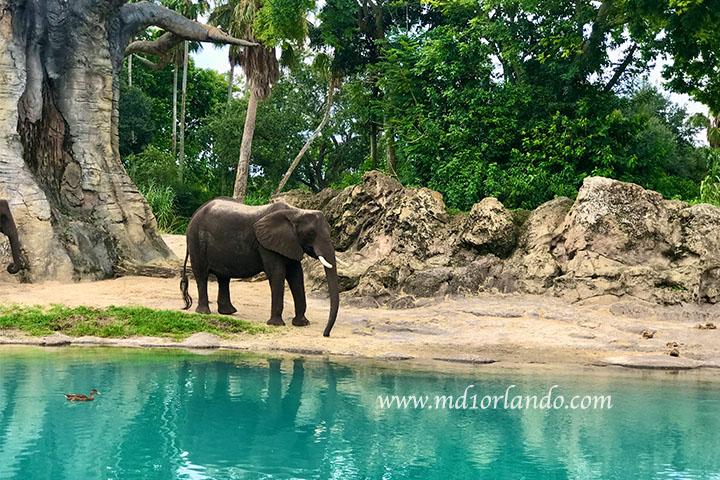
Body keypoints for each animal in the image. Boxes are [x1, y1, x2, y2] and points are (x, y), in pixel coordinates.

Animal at [179, 199, 338, 338]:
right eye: (310, 233)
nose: (326, 334)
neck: (296, 212)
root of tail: (196, 212)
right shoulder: (266, 245)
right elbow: (277, 274)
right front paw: (276, 324)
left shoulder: (291, 243)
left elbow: (297, 277)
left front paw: (302, 324)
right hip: (195, 240)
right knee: (201, 275)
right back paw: (204, 312)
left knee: (223, 278)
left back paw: (227, 312)